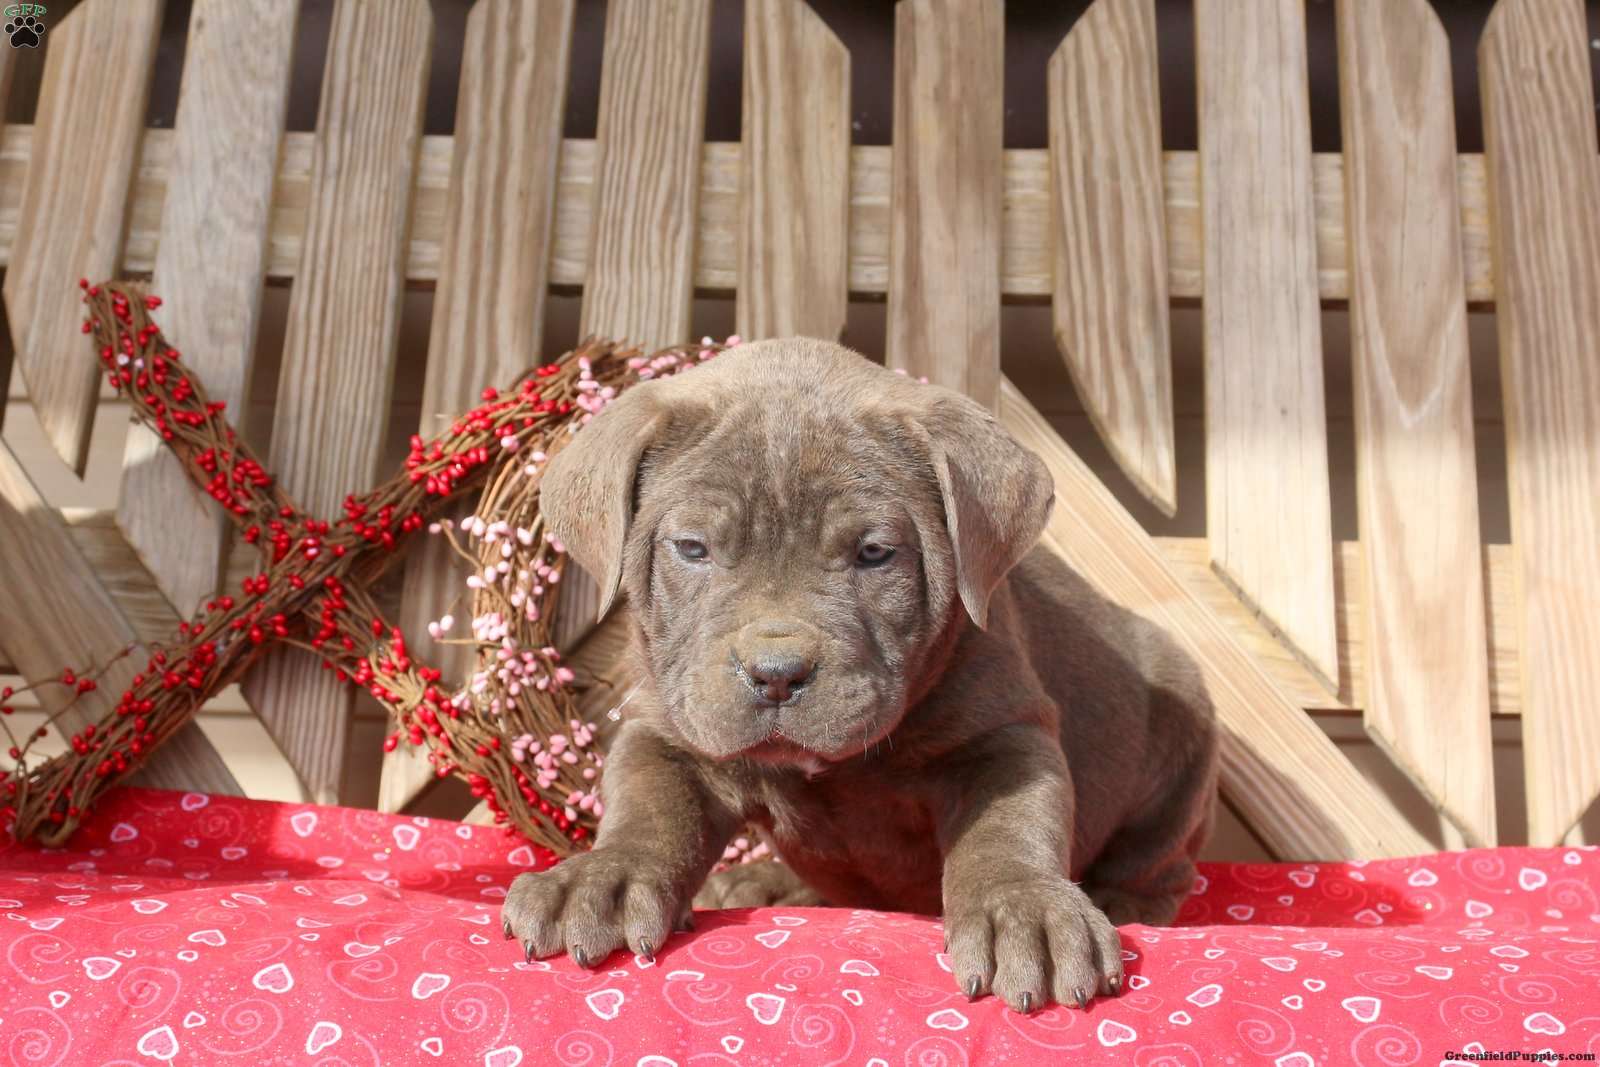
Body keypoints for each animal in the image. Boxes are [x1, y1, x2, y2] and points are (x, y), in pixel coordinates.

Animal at [505, 335, 1216, 1011]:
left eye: (874, 553)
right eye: (691, 549)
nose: (777, 674)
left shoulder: (1006, 733)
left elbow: (1007, 830)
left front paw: (1026, 911)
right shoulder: (669, 730)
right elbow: (649, 813)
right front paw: (602, 877)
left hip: (1182, 732)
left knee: (1160, 862)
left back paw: (1123, 902)